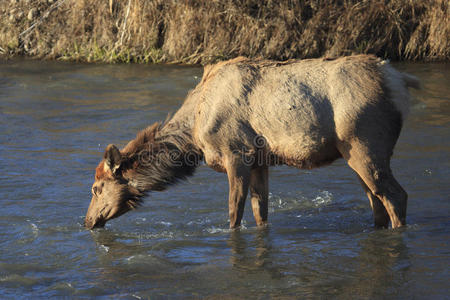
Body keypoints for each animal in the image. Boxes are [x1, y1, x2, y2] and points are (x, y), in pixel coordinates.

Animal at [86, 55, 420, 230]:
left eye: (97, 188)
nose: (88, 220)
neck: (194, 135)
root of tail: (400, 81)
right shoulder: (261, 161)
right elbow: (262, 212)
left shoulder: (237, 153)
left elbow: (235, 212)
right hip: (355, 155)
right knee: (376, 200)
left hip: (365, 145)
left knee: (396, 196)